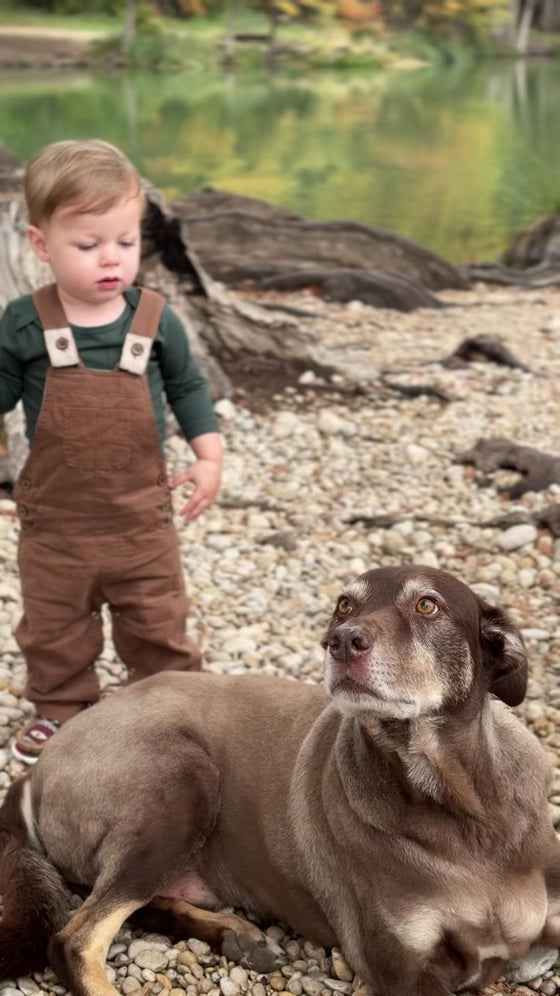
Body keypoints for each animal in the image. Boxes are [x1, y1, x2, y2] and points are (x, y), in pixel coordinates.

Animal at [1, 568, 560, 996]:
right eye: (343, 604)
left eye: (427, 605)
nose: (342, 640)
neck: (462, 805)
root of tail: (36, 768)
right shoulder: (402, 966)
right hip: (183, 782)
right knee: (74, 939)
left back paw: (233, 934)